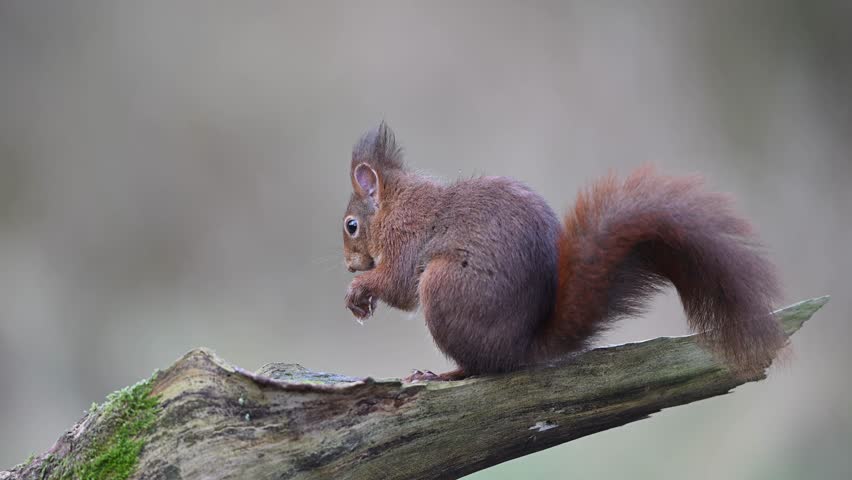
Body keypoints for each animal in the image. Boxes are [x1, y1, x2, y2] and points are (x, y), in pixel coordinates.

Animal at [342, 122, 785, 381]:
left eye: (350, 226)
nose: (349, 266)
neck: (395, 204)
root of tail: (523, 348)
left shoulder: (406, 238)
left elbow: (399, 285)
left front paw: (360, 290)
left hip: (443, 285)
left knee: (482, 369)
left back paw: (442, 375)